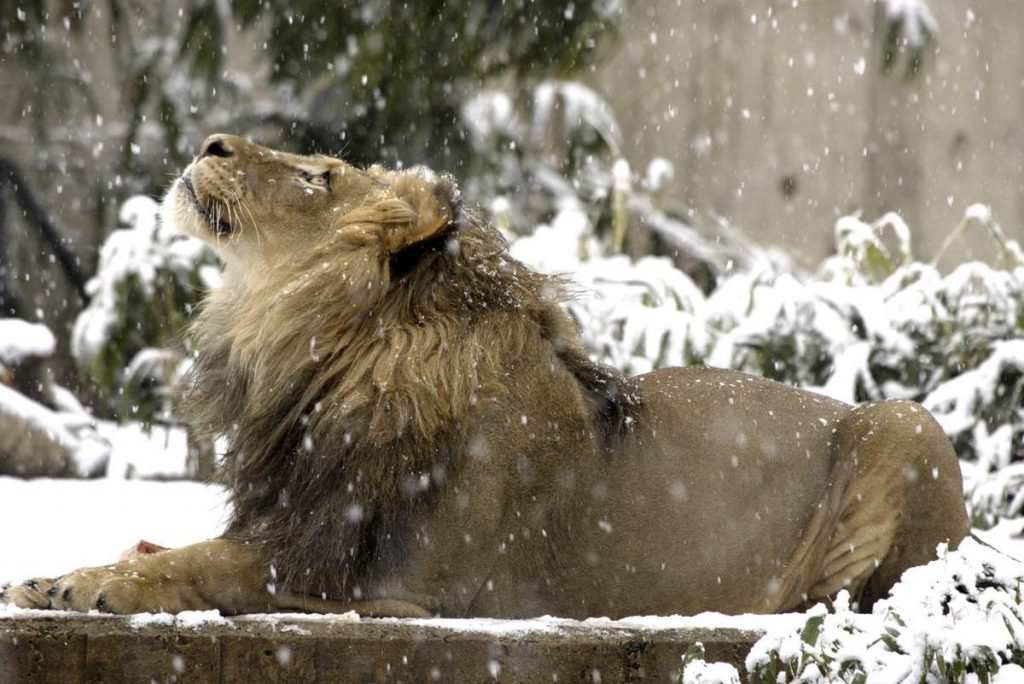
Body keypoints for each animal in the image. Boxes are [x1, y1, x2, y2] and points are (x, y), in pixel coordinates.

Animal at [2, 136, 966, 618]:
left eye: (321, 175)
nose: (210, 141)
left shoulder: (391, 586)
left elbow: (197, 566)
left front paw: (85, 584)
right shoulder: (301, 524)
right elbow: (165, 547)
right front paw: (52, 575)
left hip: (905, 423)